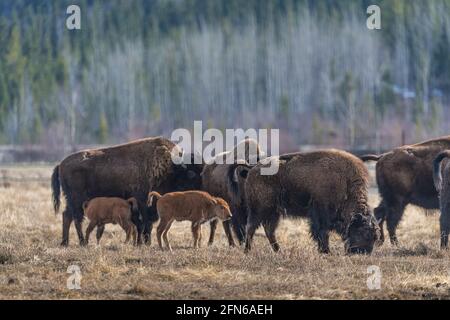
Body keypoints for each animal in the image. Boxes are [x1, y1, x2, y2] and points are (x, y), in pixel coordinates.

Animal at [51, 136, 204, 246]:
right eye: (192, 173)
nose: (203, 189)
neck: (171, 168)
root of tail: (60, 164)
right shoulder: (143, 202)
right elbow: (143, 222)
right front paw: (143, 243)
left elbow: (145, 223)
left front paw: (144, 242)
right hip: (77, 199)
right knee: (77, 219)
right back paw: (82, 242)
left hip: (71, 200)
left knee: (67, 216)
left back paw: (65, 242)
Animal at [232, 150, 380, 255]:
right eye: (364, 232)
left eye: (375, 236)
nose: (363, 252)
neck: (346, 185)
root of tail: (252, 168)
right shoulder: (320, 213)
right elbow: (322, 232)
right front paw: (326, 251)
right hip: (259, 209)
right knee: (251, 227)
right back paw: (248, 251)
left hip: (274, 212)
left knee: (269, 230)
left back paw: (279, 251)